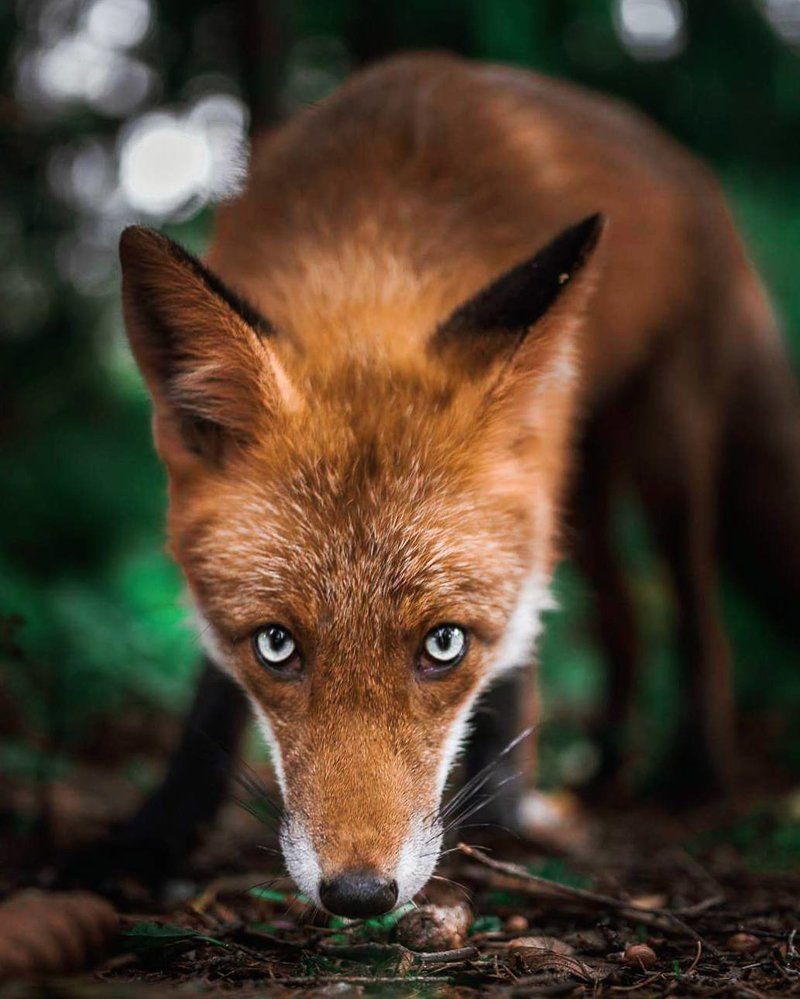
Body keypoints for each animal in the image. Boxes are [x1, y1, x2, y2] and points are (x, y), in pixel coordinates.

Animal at [101, 50, 800, 916]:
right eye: (275, 644)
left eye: (444, 644)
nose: (359, 892)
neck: (374, 245)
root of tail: (688, 168)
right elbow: (212, 689)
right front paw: (160, 827)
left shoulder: (536, 490)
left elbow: (516, 657)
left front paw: (498, 815)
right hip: (584, 490)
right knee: (625, 613)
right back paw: (603, 763)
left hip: (660, 450)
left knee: (696, 604)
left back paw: (691, 769)